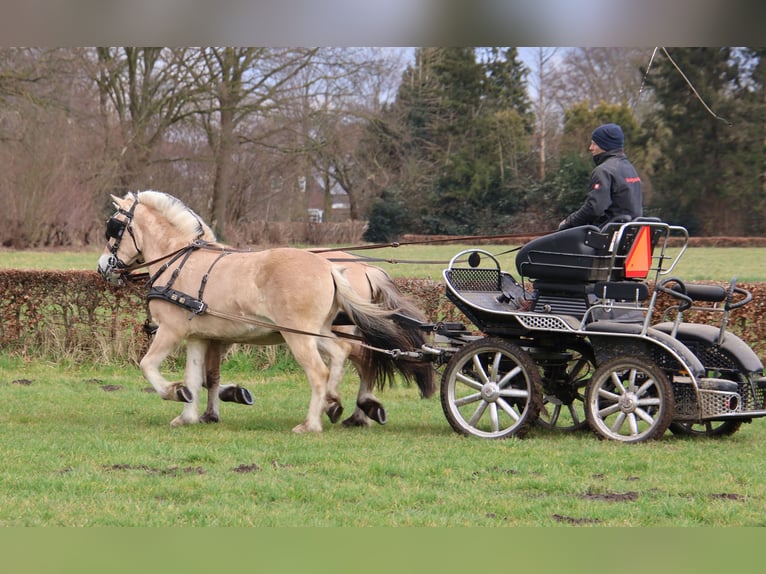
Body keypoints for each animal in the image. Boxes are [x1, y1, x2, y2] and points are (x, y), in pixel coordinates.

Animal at [97, 191, 426, 434]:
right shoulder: (199, 336)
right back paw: (335, 403)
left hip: (299, 336)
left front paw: (174, 392)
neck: (179, 260)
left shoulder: (171, 330)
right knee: (341, 355)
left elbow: (148, 366)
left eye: (114, 227)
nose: (103, 267)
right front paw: (188, 413)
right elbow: (196, 376)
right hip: (316, 331)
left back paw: (314, 422)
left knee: (324, 370)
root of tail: (332, 267)